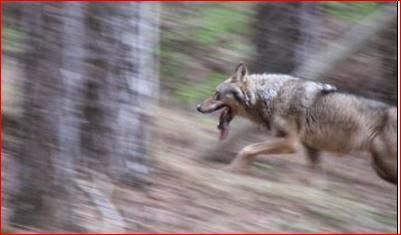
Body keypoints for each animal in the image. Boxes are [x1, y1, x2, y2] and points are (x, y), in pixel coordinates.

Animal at [195, 63, 396, 185]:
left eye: (216, 94)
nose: (197, 107)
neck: (271, 96)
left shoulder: (291, 143)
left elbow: (247, 149)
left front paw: (230, 169)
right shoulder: (311, 148)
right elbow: (315, 180)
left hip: (384, 166)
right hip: (381, 168)